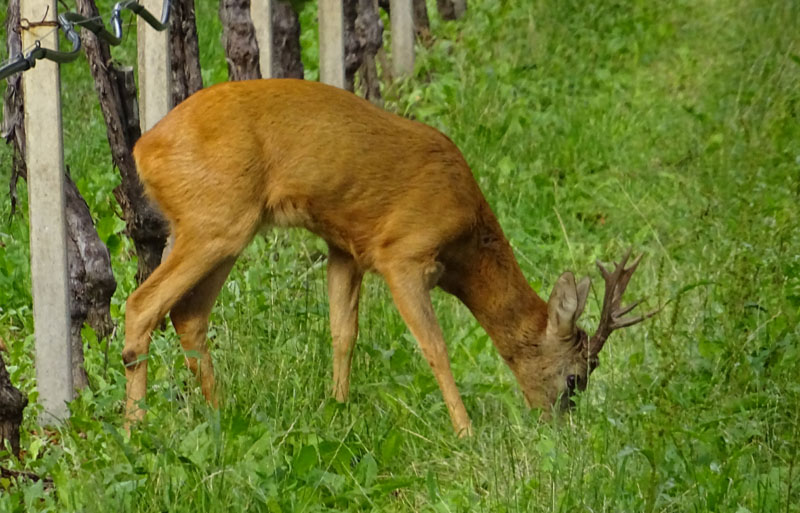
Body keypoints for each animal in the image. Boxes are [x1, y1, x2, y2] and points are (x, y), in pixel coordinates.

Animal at [122, 78, 652, 434]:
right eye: (575, 379)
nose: (559, 428)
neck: (466, 237)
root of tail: (144, 148)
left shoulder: (345, 247)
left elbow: (343, 332)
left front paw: (338, 408)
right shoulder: (404, 253)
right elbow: (435, 346)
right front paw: (465, 430)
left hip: (225, 226)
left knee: (189, 314)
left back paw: (221, 415)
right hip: (215, 219)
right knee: (141, 305)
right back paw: (135, 429)